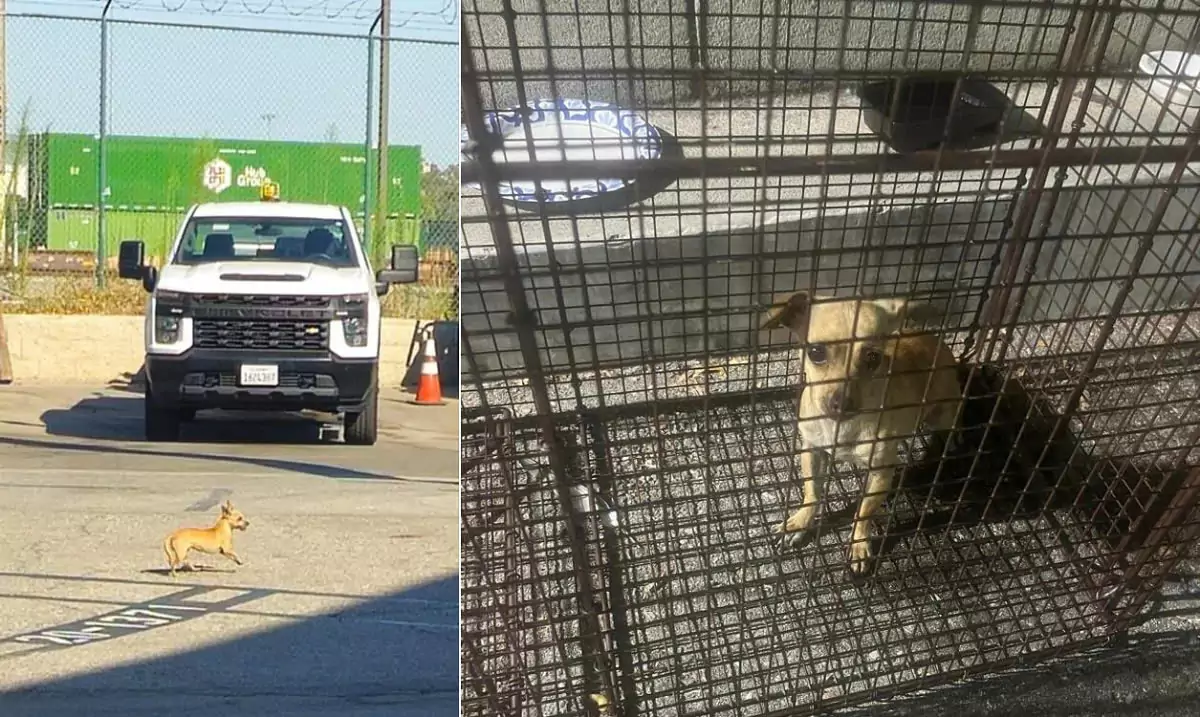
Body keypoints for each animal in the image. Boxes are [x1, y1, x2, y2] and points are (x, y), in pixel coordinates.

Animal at [763, 288, 960, 575]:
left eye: (873, 358)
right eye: (816, 352)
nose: (842, 401)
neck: (840, 428)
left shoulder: (881, 473)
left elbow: (864, 511)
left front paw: (858, 544)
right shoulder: (812, 450)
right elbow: (812, 491)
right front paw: (801, 521)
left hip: (943, 413)